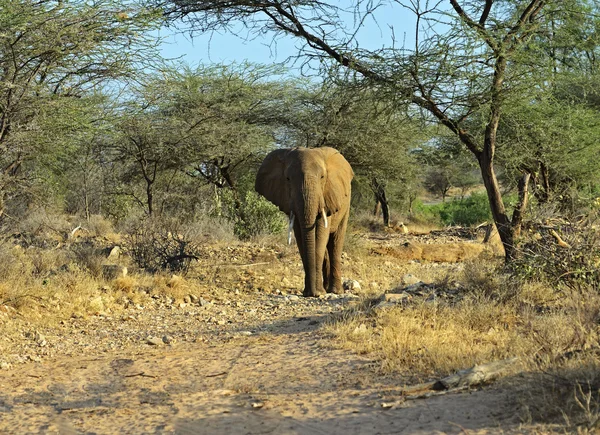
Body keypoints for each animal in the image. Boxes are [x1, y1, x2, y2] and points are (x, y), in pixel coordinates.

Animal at [255, 148, 354, 298]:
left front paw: (317, 293)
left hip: (346, 205)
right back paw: (326, 288)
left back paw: (335, 291)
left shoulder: (326, 197)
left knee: (335, 243)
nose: (313, 293)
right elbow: (301, 237)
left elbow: (320, 236)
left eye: (322, 177)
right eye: (288, 179)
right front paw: (309, 292)